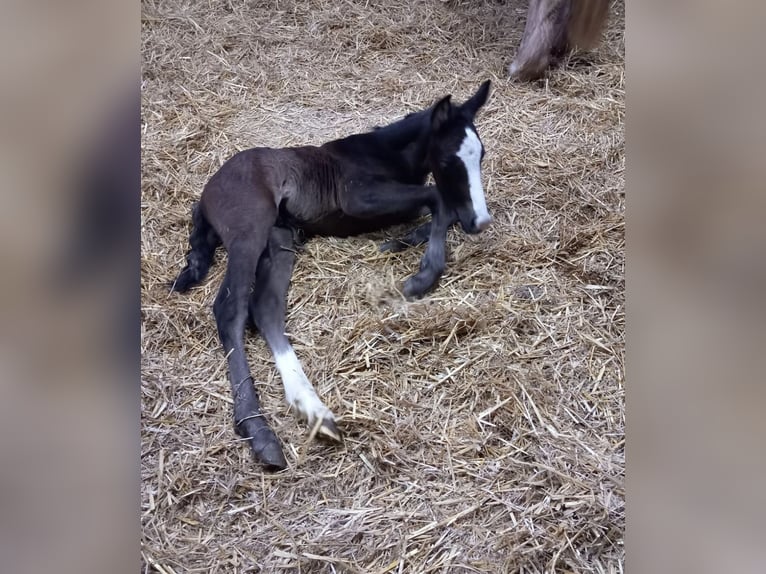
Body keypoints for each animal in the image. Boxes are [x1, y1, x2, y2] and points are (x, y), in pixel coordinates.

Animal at [171, 81, 492, 470]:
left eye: (481, 156)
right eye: (448, 160)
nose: (481, 221)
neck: (383, 153)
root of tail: (205, 195)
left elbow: (440, 208)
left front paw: (401, 242)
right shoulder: (357, 196)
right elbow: (438, 198)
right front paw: (423, 275)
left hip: (280, 239)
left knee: (265, 309)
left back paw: (313, 410)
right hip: (250, 229)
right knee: (230, 310)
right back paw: (259, 432)